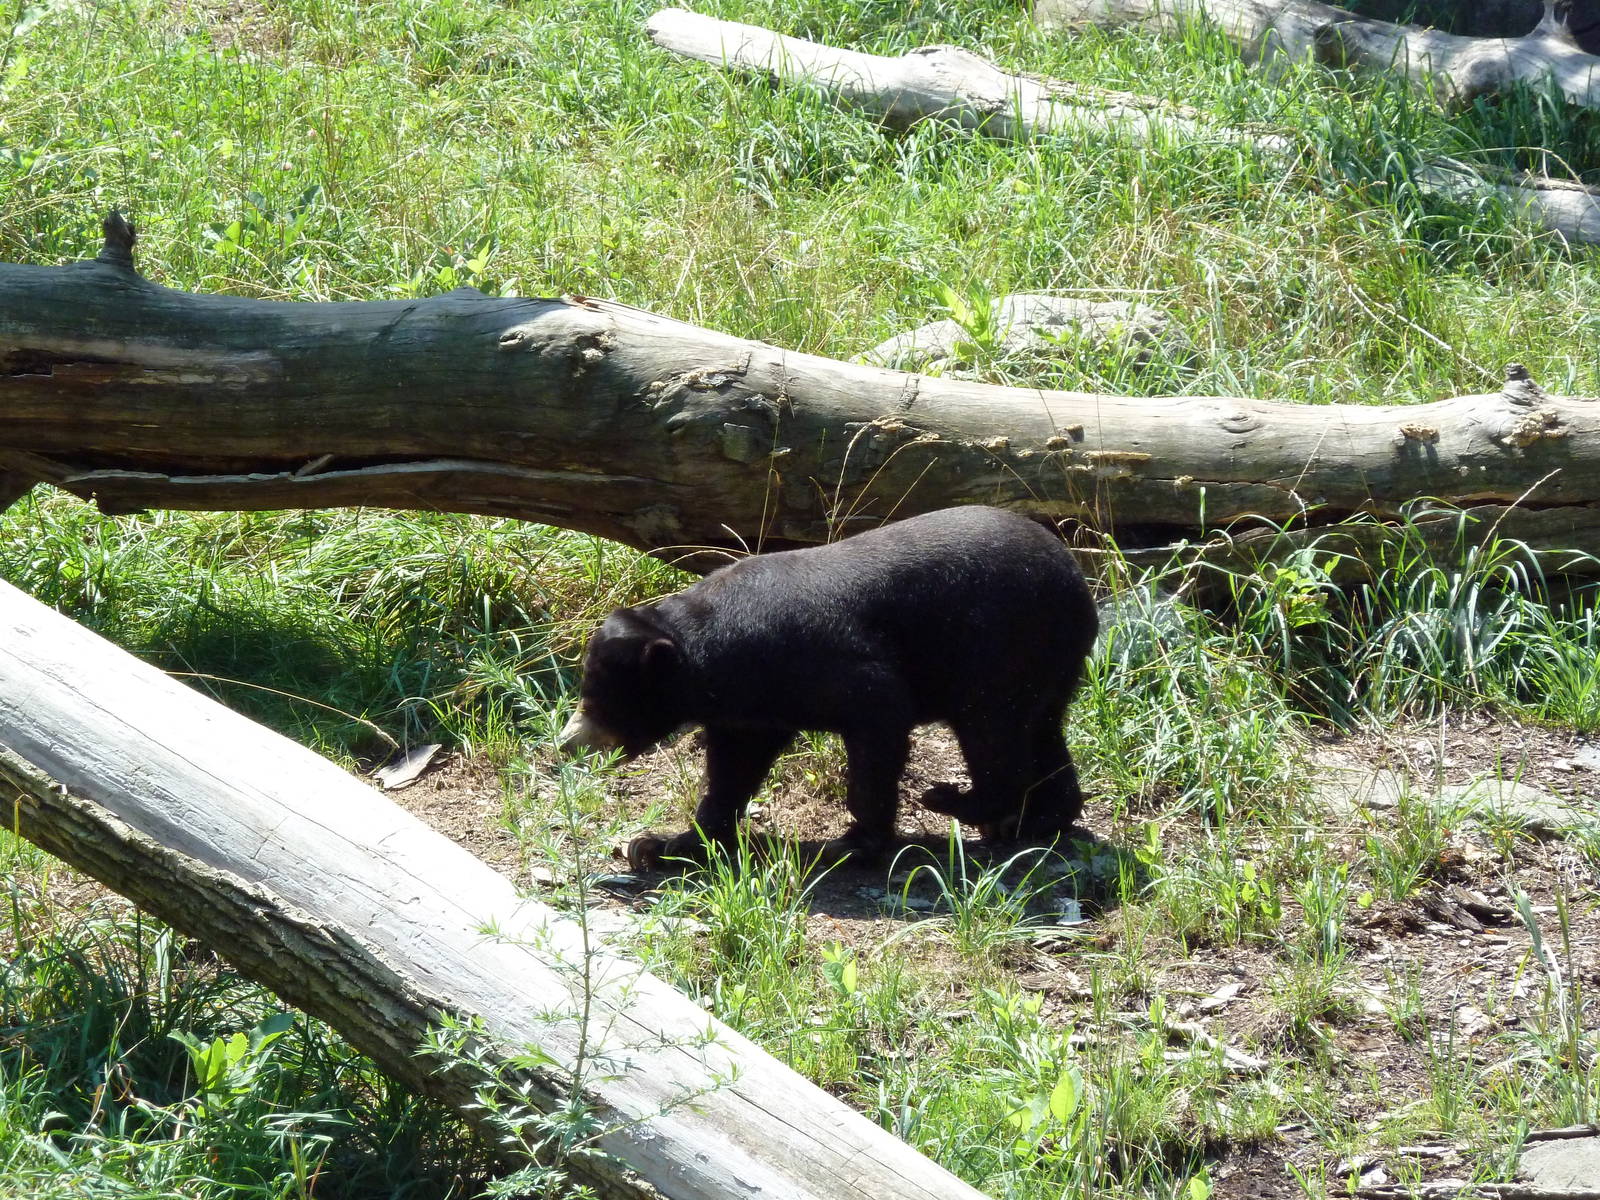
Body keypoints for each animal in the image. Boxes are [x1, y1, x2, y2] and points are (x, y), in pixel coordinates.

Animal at [558, 505, 1099, 868]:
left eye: (597, 699)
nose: (565, 742)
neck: (711, 655)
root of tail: (1077, 581)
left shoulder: (821, 661)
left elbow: (878, 712)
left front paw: (856, 841)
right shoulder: (750, 708)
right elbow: (734, 767)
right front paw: (663, 844)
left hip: (998, 650)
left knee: (994, 733)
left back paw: (960, 803)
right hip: (1046, 664)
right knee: (1042, 731)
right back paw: (1041, 818)